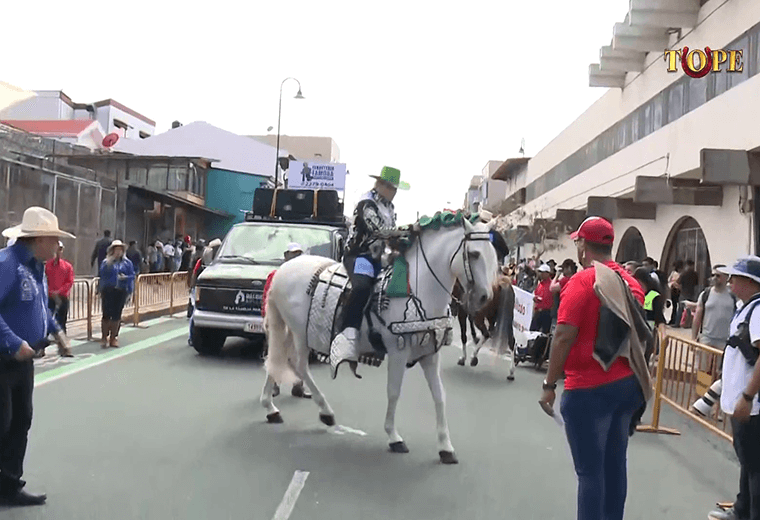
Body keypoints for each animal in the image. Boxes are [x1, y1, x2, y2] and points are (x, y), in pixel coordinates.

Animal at [261, 216, 498, 464]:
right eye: (474, 254)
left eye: (492, 253)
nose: (484, 297)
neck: (418, 288)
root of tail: (282, 270)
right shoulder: (398, 352)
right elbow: (393, 392)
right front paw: (394, 437)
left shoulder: (430, 354)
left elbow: (439, 396)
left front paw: (446, 448)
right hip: (300, 333)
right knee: (298, 366)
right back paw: (325, 412)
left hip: (289, 331)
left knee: (276, 360)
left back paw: (271, 409)